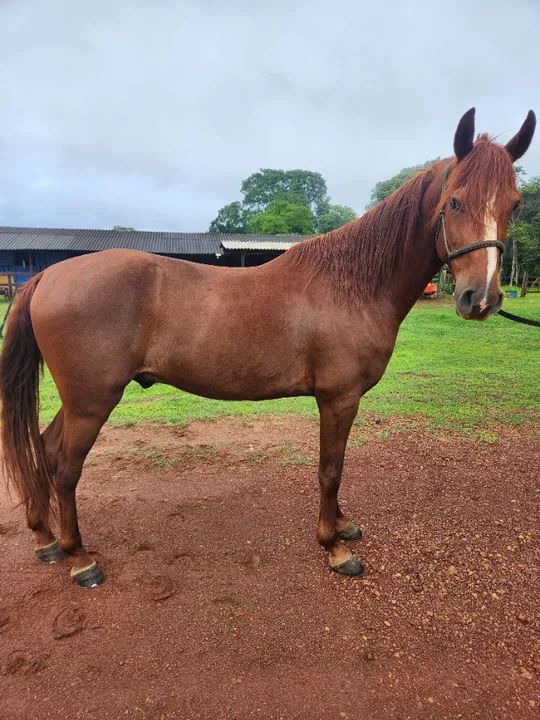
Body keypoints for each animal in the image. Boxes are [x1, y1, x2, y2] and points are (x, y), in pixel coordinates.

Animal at [0, 108, 535, 588]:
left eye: (515, 205)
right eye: (455, 203)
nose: (480, 298)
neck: (353, 285)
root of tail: (48, 275)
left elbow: (337, 468)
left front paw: (343, 526)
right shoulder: (338, 399)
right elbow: (330, 470)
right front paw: (334, 547)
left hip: (81, 401)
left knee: (45, 449)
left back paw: (46, 539)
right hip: (92, 401)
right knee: (66, 467)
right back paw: (80, 560)